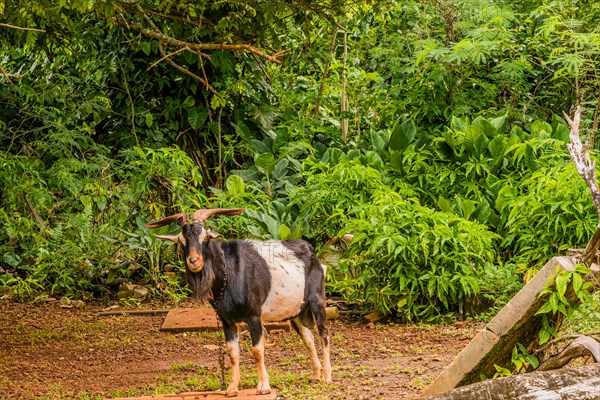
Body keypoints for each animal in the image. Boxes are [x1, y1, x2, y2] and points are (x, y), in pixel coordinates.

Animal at [145, 209, 332, 396]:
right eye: (182, 241)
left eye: (205, 238)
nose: (194, 261)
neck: (229, 273)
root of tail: (313, 254)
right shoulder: (227, 320)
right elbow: (232, 352)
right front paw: (232, 388)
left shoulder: (254, 316)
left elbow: (257, 350)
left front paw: (264, 387)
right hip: (297, 312)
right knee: (308, 338)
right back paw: (316, 375)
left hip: (317, 300)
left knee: (323, 333)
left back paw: (327, 377)